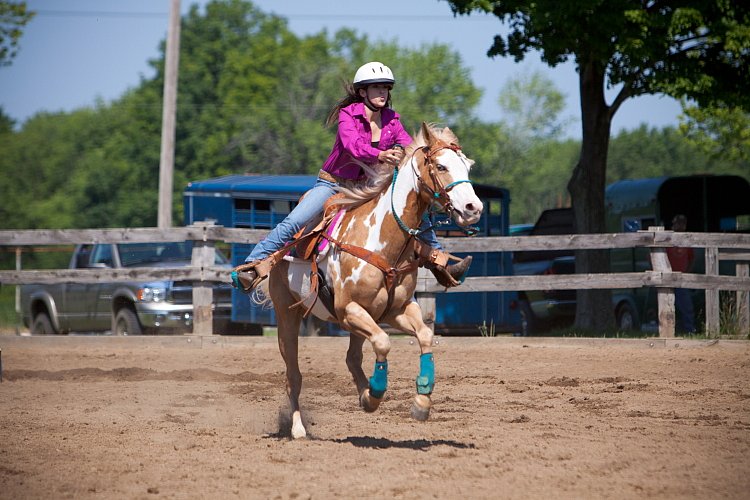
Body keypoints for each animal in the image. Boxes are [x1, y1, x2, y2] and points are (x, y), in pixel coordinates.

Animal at [260, 122, 482, 438]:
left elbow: (424, 336)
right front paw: (375, 394)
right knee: (294, 375)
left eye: (467, 166)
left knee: (352, 357)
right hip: (287, 316)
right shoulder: (348, 310)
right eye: (441, 166)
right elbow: (383, 342)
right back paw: (299, 429)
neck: (383, 241)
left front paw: (421, 401)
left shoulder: (396, 310)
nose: (473, 208)